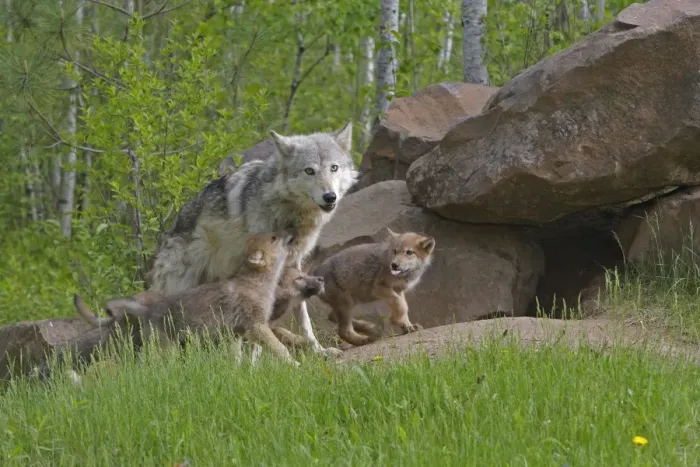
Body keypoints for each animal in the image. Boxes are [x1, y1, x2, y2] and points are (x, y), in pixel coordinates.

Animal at [146, 122, 358, 358]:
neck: (289, 213)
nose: (330, 196)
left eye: (334, 168)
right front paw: (257, 361)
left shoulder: (294, 264)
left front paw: (318, 351)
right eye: (309, 171)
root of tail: (171, 228)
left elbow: (304, 318)